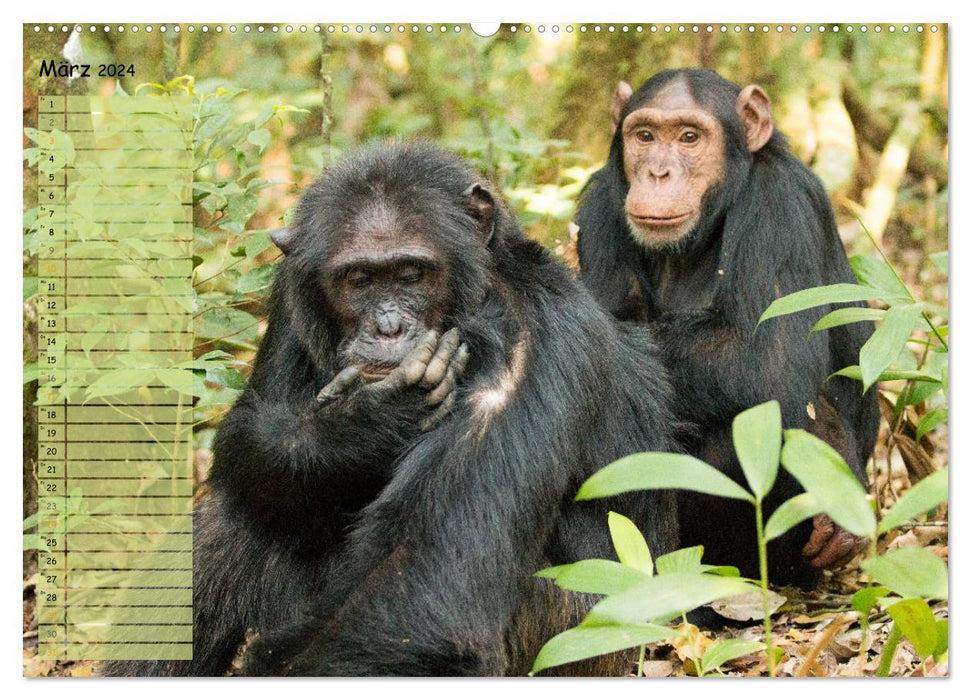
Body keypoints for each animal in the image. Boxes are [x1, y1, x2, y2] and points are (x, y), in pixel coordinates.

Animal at [102, 144, 680, 680]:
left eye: (411, 274)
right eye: (358, 279)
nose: (387, 327)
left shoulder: (530, 344)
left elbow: (422, 600)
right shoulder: (291, 297)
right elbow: (250, 427)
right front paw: (370, 422)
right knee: (237, 511)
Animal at [572, 68, 884, 588]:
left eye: (689, 137)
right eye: (645, 136)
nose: (658, 172)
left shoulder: (779, 206)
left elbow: (768, 361)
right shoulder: (598, 210)